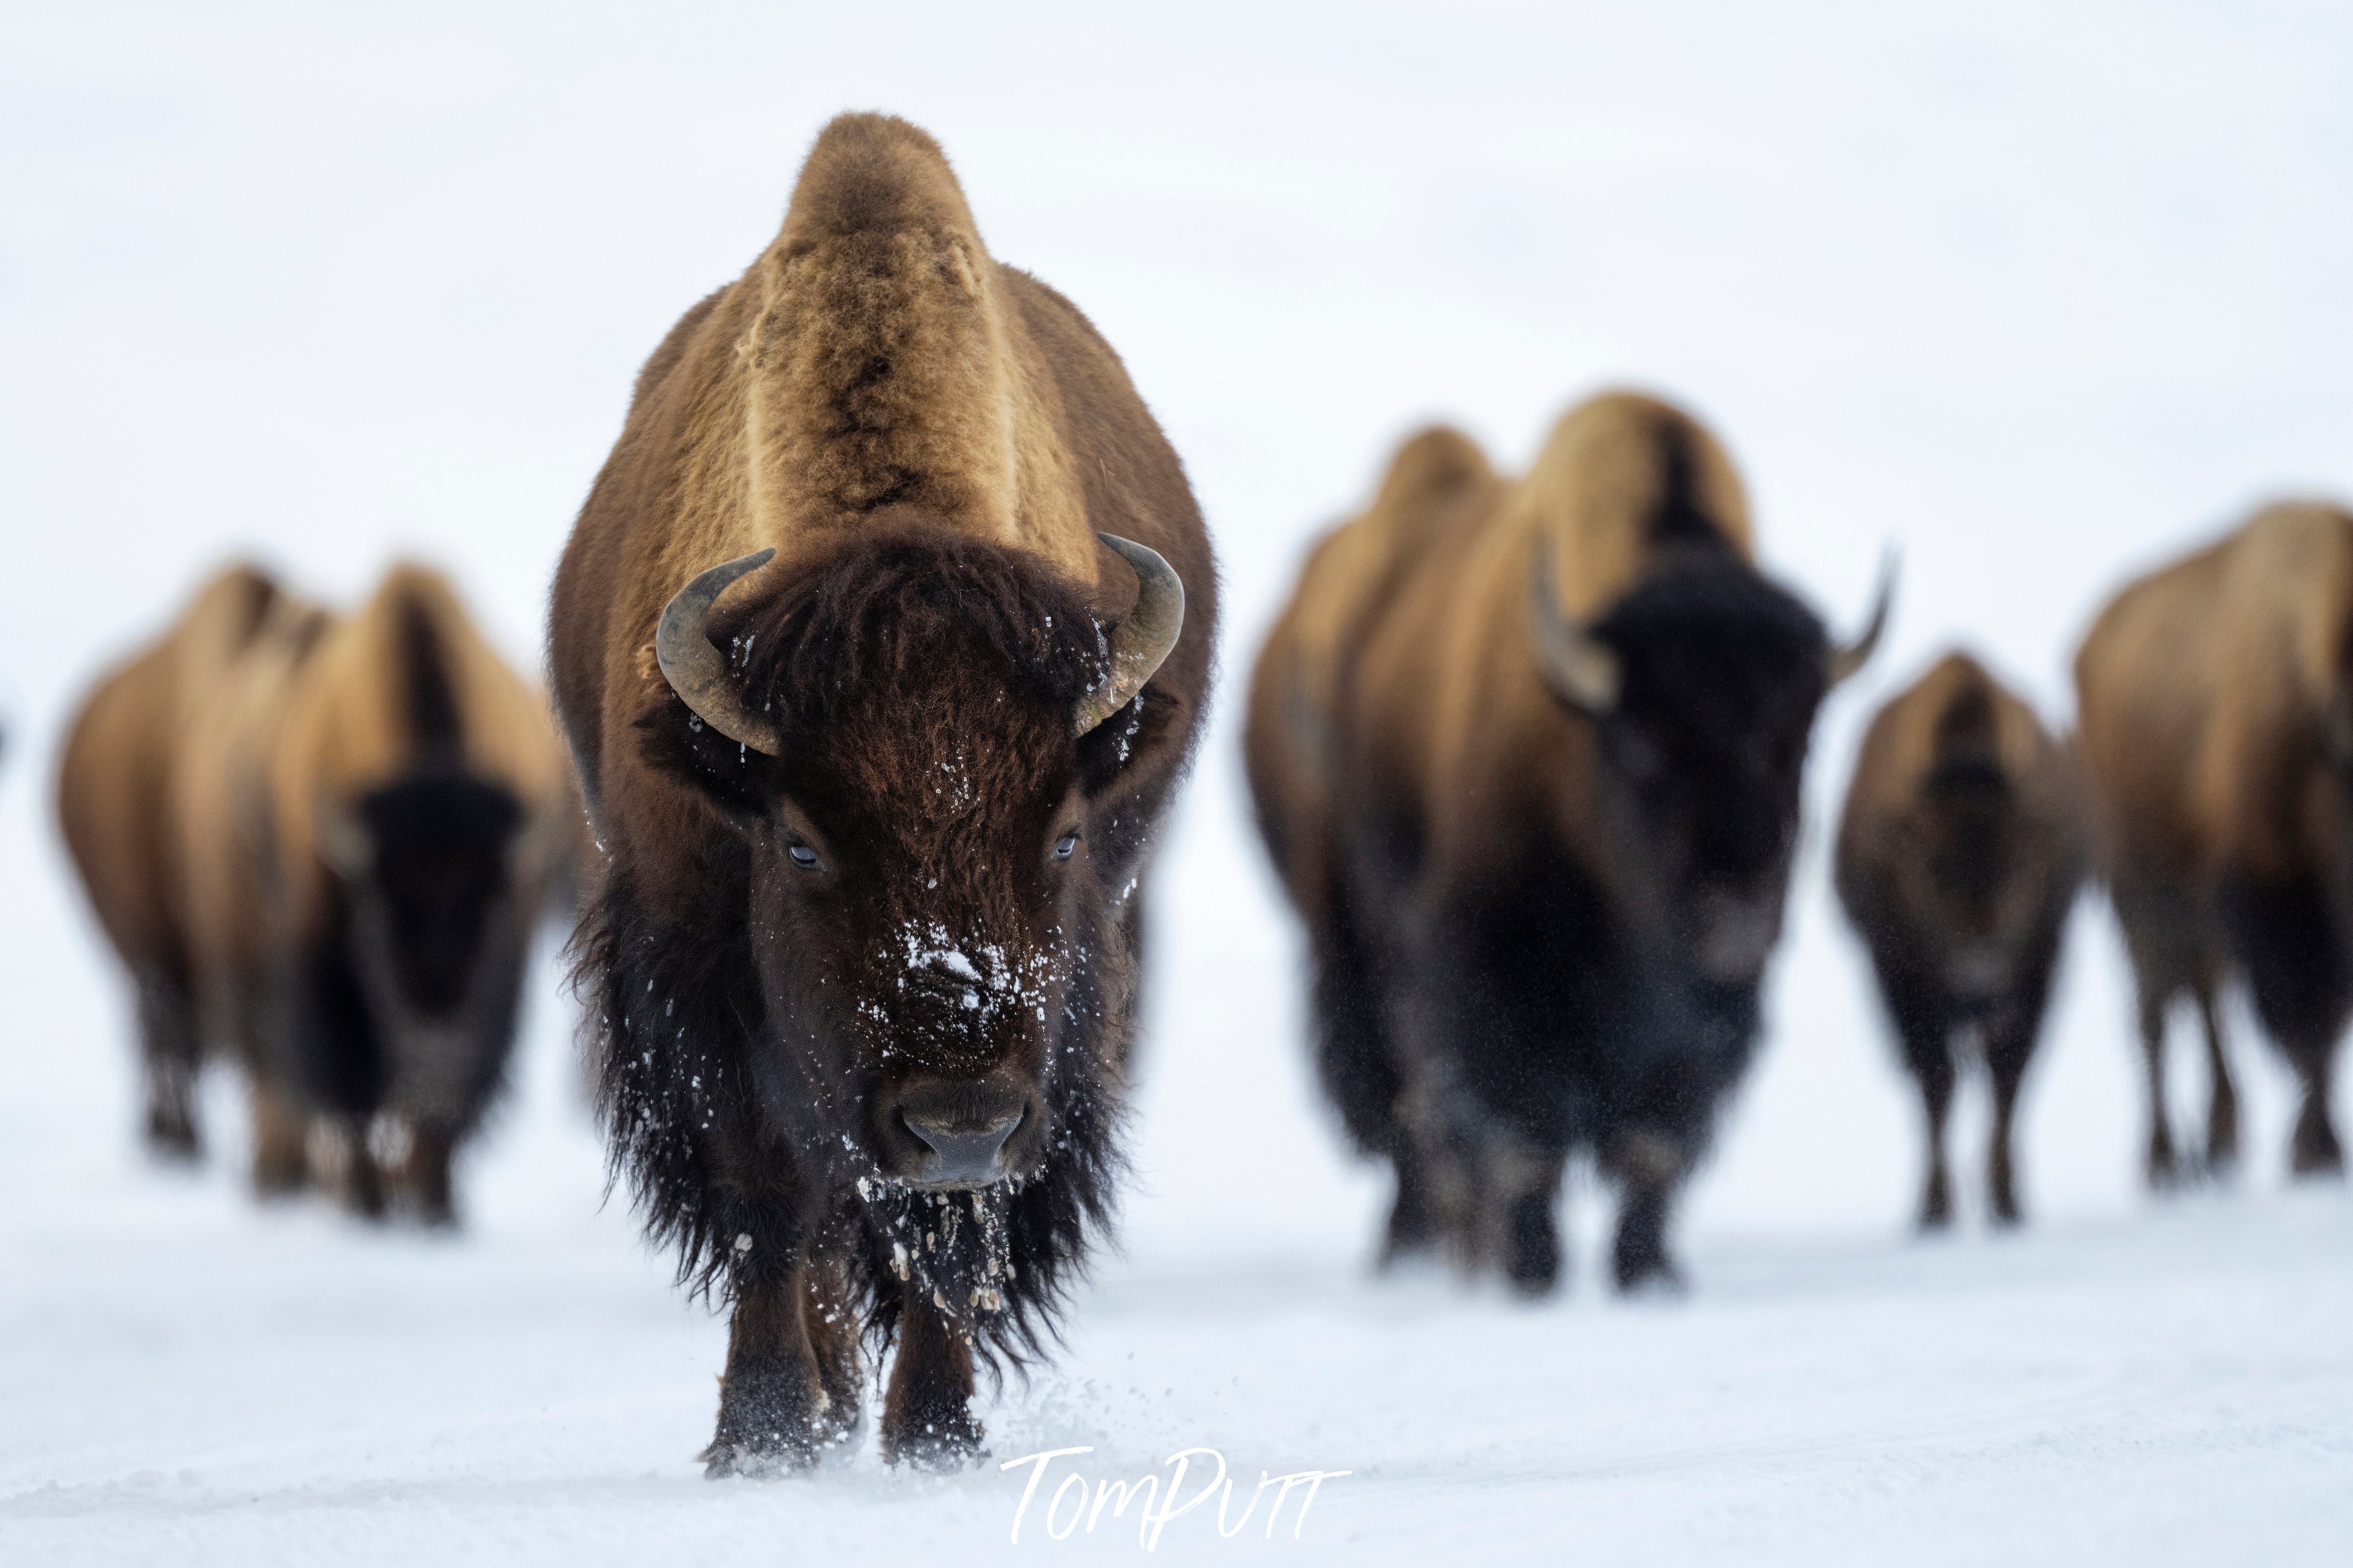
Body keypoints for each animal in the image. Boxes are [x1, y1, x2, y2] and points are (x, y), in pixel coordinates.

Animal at [547, 114, 1215, 1472]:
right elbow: (767, 1199)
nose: (957, 1116)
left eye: (1064, 835)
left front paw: (937, 1439)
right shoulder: (694, 974)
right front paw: (759, 1440)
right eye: (801, 843)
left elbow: (952, 1235)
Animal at [1246, 391, 1886, 1294]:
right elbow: (1524, 1137)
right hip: (1357, 946)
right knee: (1407, 1110)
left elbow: (1654, 1144)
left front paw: (1648, 1274)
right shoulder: (1486, 969)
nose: (1735, 917)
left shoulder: (1707, 1018)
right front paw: (1534, 1272)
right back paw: (1423, 1250)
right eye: (1643, 745)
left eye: (1796, 742)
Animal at [1834, 651, 2085, 1227]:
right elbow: (1936, 1082)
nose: (1979, 971)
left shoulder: (2039, 966)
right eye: (1931, 866)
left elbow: (2007, 1077)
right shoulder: (1898, 976)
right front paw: (1934, 1208)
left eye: (2020, 863)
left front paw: (2007, 1201)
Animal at [2076, 500, 2353, 1183]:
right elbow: (2306, 1023)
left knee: (2200, 1003)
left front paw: (2317, 1146)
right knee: (2153, 1014)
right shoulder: (2270, 891)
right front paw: (2316, 1150)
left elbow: (2324, 1024)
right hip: (2139, 893)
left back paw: (2218, 1142)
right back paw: (2164, 1159)